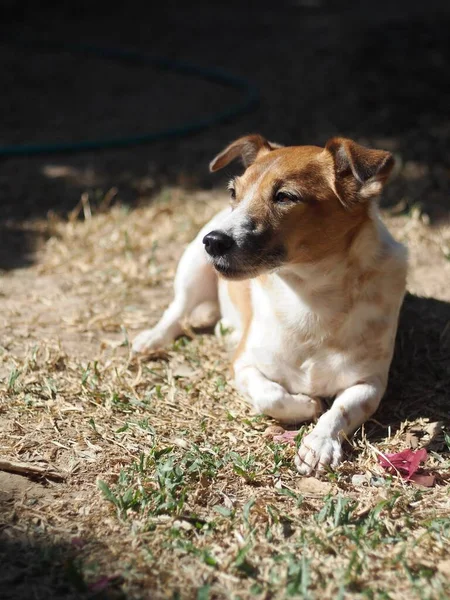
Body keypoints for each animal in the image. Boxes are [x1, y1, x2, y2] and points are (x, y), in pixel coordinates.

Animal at [131, 135, 408, 474]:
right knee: (177, 310)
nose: (213, 241)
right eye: (233, 192)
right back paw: (153, 338)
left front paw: (318, 443)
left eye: (285, 197)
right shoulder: (244, 365)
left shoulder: (369, 382)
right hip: (192, 268)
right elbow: (272, 396)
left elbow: (340, 410)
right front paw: (307, 404)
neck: (310, 297)